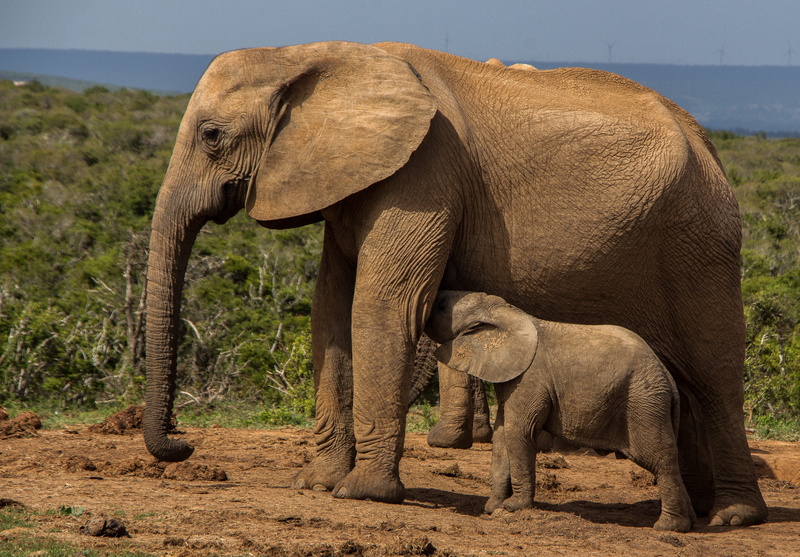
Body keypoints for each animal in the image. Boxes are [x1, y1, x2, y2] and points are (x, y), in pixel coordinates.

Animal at [426, 290, 695, 532]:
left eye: (440, 305)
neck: (506, 311)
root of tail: (667, 377)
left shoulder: (530, 378)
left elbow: (518, 432)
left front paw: (514, 507)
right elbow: (502, 435)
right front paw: (493, 508)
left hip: (644, 402)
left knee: (659, 457)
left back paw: (668, 527)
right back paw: (689, 522)